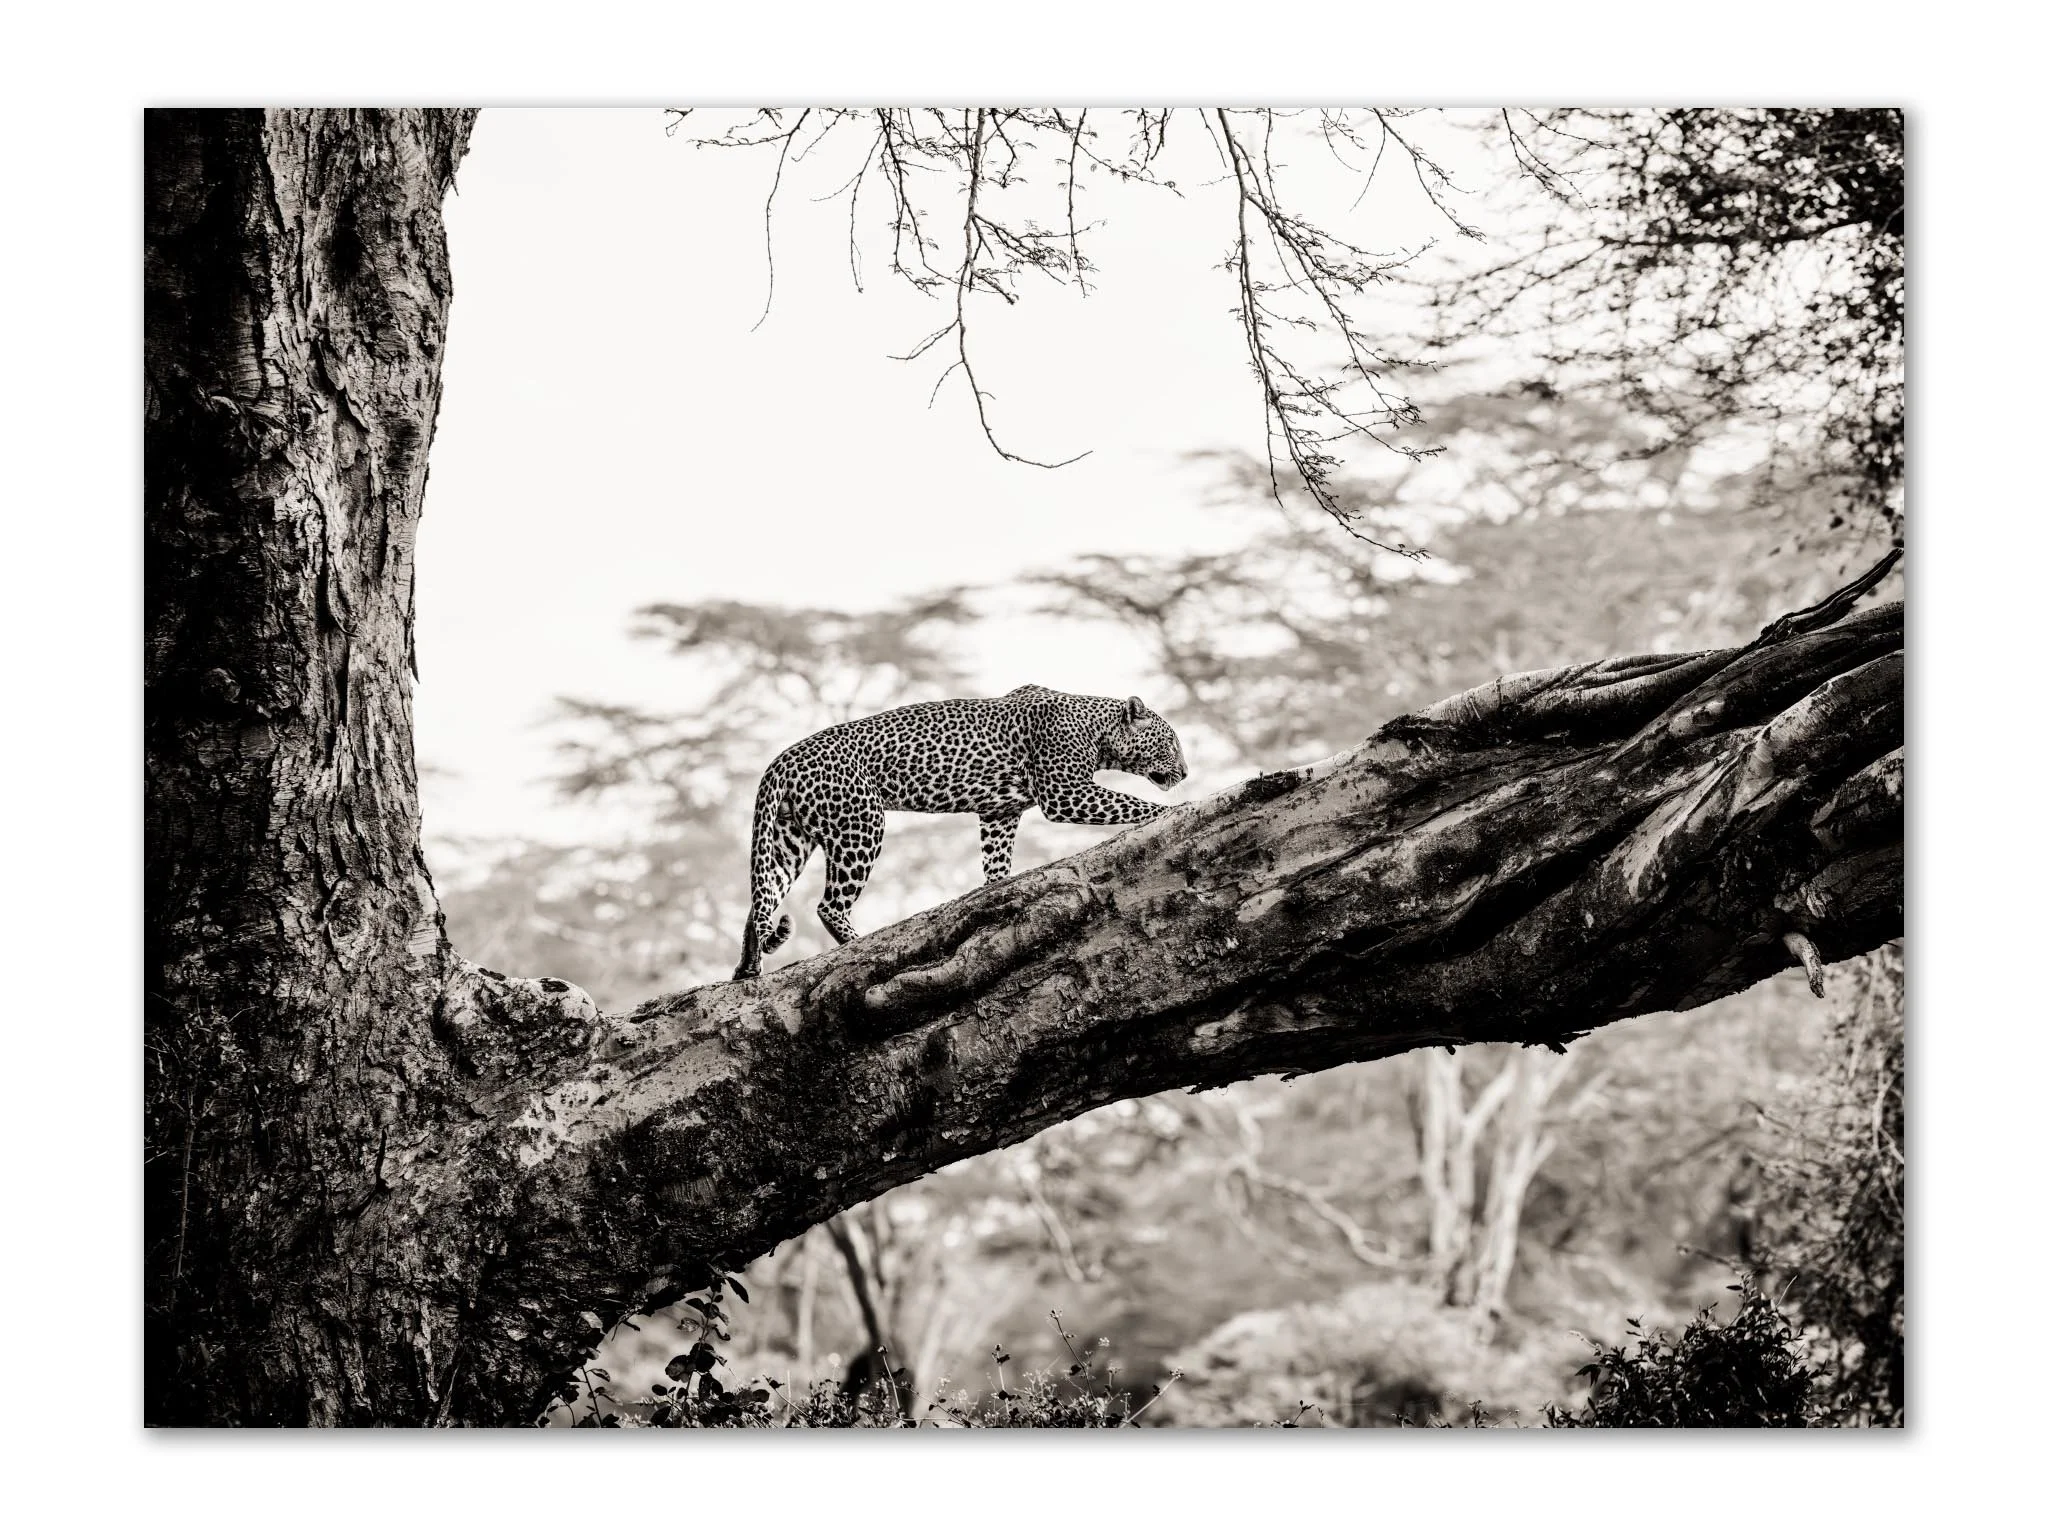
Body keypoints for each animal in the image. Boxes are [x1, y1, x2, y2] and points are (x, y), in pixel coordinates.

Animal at [732, 685, 1188, 979]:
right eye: (1171, 742)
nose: (1185, 773)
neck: (1098, 729)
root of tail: (781, 760)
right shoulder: (1065, 793)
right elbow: (1131, 803)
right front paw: (1176, 808)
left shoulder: (999, 812)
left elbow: (996, 862)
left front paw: (997, 889)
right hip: (860, 824)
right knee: (828, 905)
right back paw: (855, 942)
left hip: (788, 839)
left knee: (761, 902)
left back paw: (748, 968)